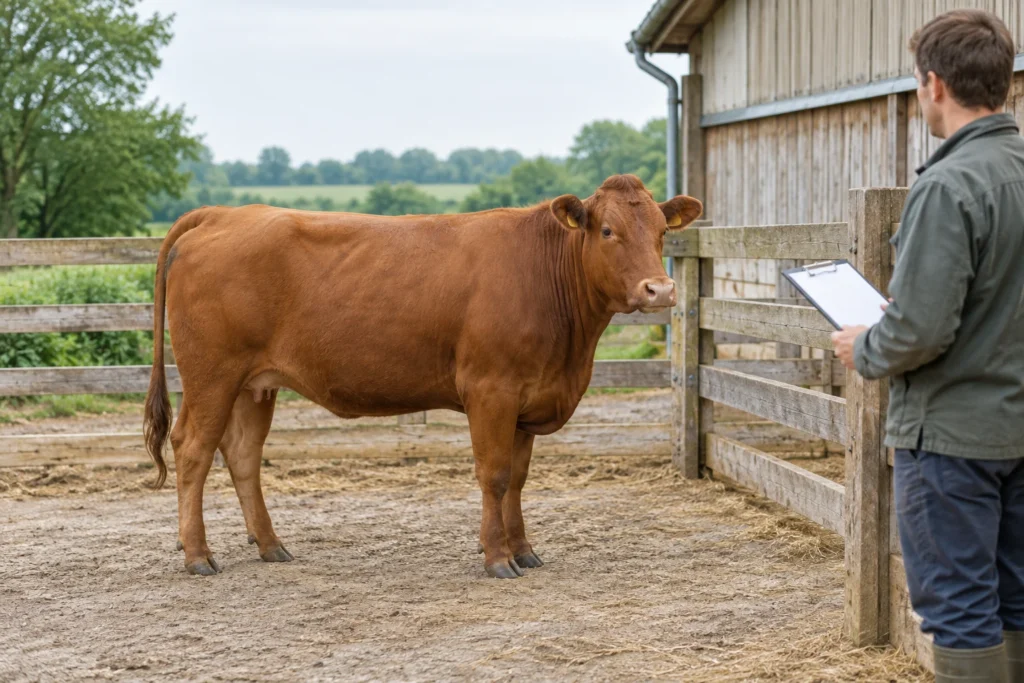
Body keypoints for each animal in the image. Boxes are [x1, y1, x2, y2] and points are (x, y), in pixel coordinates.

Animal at [144, 174, 702, 578]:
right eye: (607, 231)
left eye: (661, 232)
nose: (660, 289)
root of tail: (224, 213)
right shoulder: (491, 390)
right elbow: (494, 475)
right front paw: (497, 559)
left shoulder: (528, 398)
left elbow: (519, 478)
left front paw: (523, 550)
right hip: (211, 376)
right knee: (192, 449)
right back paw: (198, 556)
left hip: (254, 385)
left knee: (242, 455)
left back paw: (271, 545)